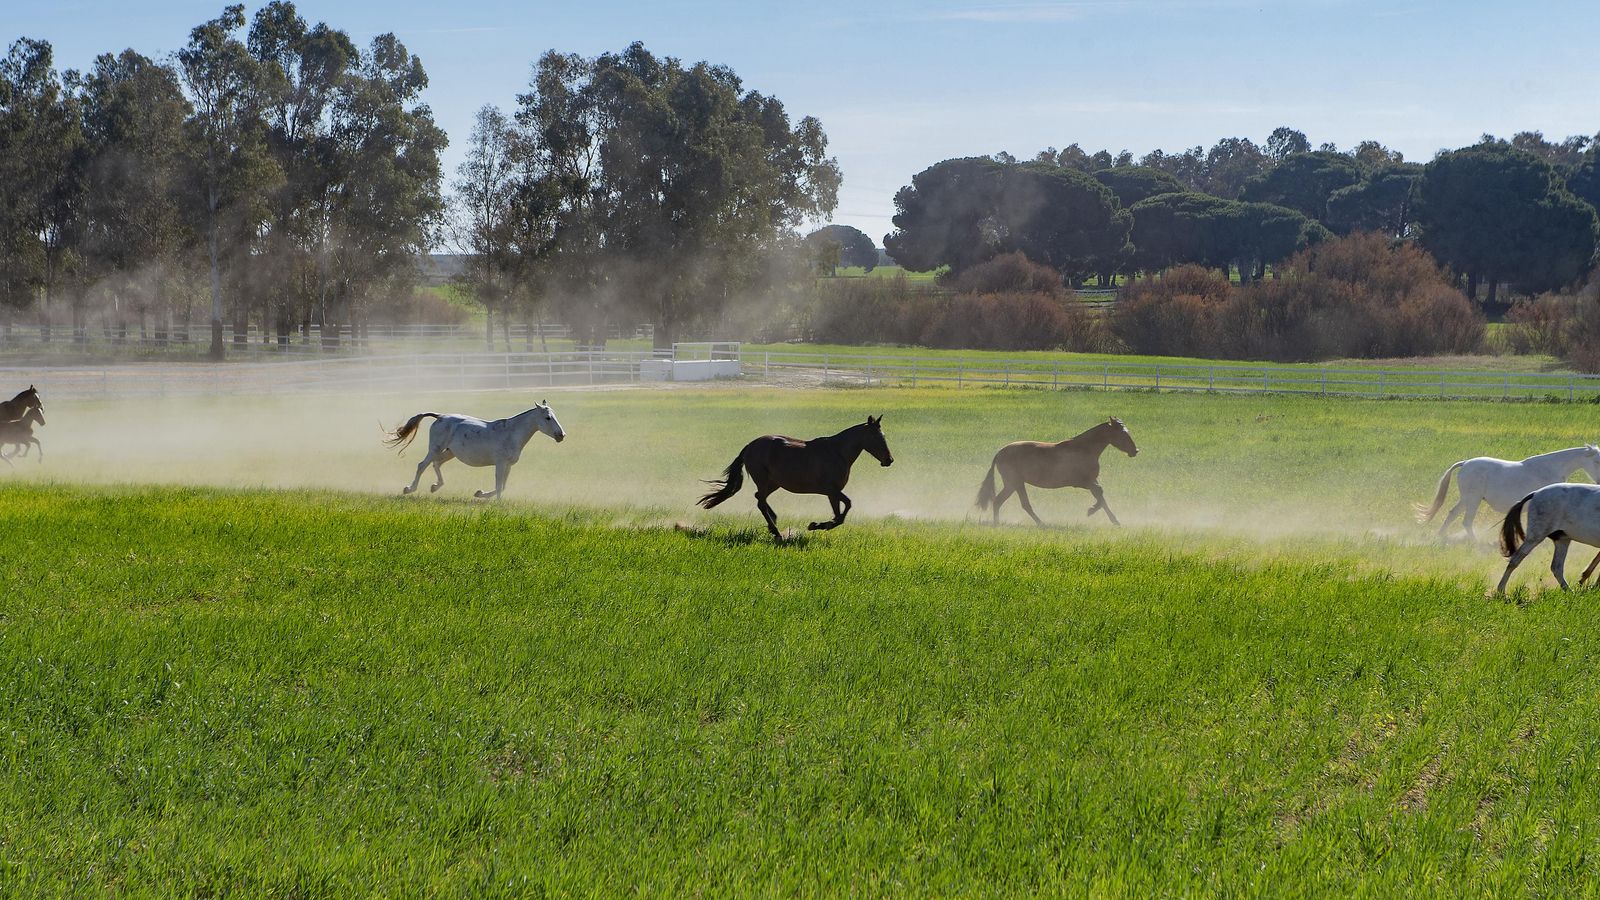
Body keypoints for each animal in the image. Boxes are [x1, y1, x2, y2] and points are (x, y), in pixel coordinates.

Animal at [385, 401, 565, 500]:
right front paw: (496, 502)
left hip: (450, 452)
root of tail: (440, 416)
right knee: (422, 465)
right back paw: (409, 489)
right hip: (435, 448)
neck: (511, 433)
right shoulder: (500, 464)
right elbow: (499, 485)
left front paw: (480, 494)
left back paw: (435, 486)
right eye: (548, 418)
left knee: (437, 463)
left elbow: (502, 486)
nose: (561, 435)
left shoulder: (508, 465)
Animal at [697, 415, 894, 541]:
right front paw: (815, 525)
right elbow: (847, 507)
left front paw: (820, 525)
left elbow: (839, 515)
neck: (838, 453)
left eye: (883, 436)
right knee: (760, 501)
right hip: (764, 479)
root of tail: (750, 446)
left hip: (774, 483)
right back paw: (776, 531)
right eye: (876, 437)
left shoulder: (833, 493)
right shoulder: (831, 489)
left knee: (760, 498)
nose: (889, 460)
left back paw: (774, 521)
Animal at [975, 417, 1138, 526]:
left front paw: (1112, 519)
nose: (1135, 451)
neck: (1084, 449)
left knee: (1007, 502)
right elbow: (1100, 492)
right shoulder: (1082, 482)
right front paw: (1092, 511)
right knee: (1007, 502)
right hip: (1013, 483)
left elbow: (1101, 496)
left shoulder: (1091, 480)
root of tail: (999, 452)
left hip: (1015, 484)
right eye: (1122, 434)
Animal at [1417, 444, 1600, 541]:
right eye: (1598, 461)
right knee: (1467, 521)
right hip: (1473, 499)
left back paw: (1441, 537)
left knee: (1452, 514)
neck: (1550, 469)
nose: (1599, 481)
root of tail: (1466, 463)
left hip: (1466, 499)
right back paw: (1475, 543)